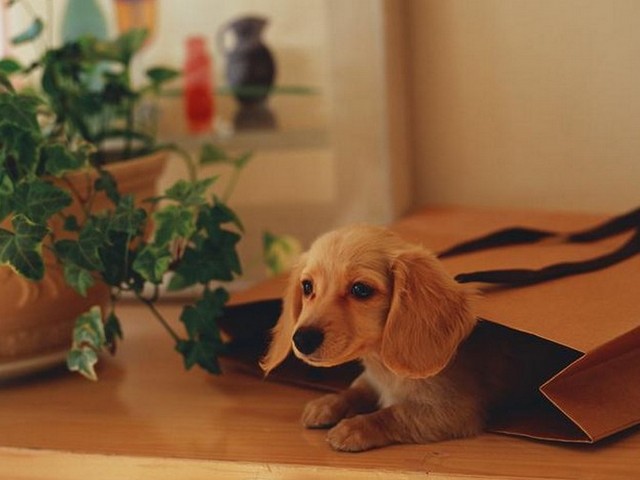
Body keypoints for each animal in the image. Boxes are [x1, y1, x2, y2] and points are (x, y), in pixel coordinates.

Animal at [260, 225, 552, 450]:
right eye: (307, 286)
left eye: (361, 289)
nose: (302, 339)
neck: (384, 367)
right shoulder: (371, 380)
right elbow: (357, 388)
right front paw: (329, 403)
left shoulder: (453, 411)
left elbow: (395, 413)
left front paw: (355, 427)